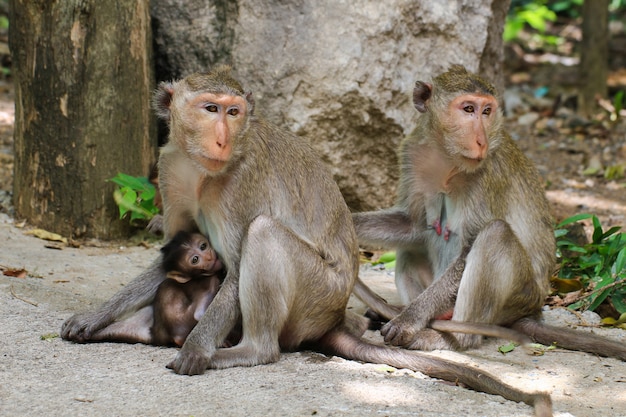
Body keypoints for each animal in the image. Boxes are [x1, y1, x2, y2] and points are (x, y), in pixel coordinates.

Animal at [62, 66, 552, 414]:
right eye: (210, 108)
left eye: (233, 112)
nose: (222, 138)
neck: (204, 168)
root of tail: (332, 317)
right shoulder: (171, 170)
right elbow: (170, 258)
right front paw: (93, 316)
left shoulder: (243, 182)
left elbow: (235, 266)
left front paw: (198, 347)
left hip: (316, 295)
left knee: (264, 235)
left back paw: (250, 351)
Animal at [352, 65, 624, 360]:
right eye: (468, 109)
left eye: (487, 111)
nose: (481, 141)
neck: (448, 159)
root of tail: (533, 310)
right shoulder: (411, 154)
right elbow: (412, 225)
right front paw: (347, 221)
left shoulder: (489, 174)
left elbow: (467, 250)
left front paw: (409, 319)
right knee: (410, 249)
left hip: (518, 297)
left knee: (495, 234)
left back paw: (453, 337)